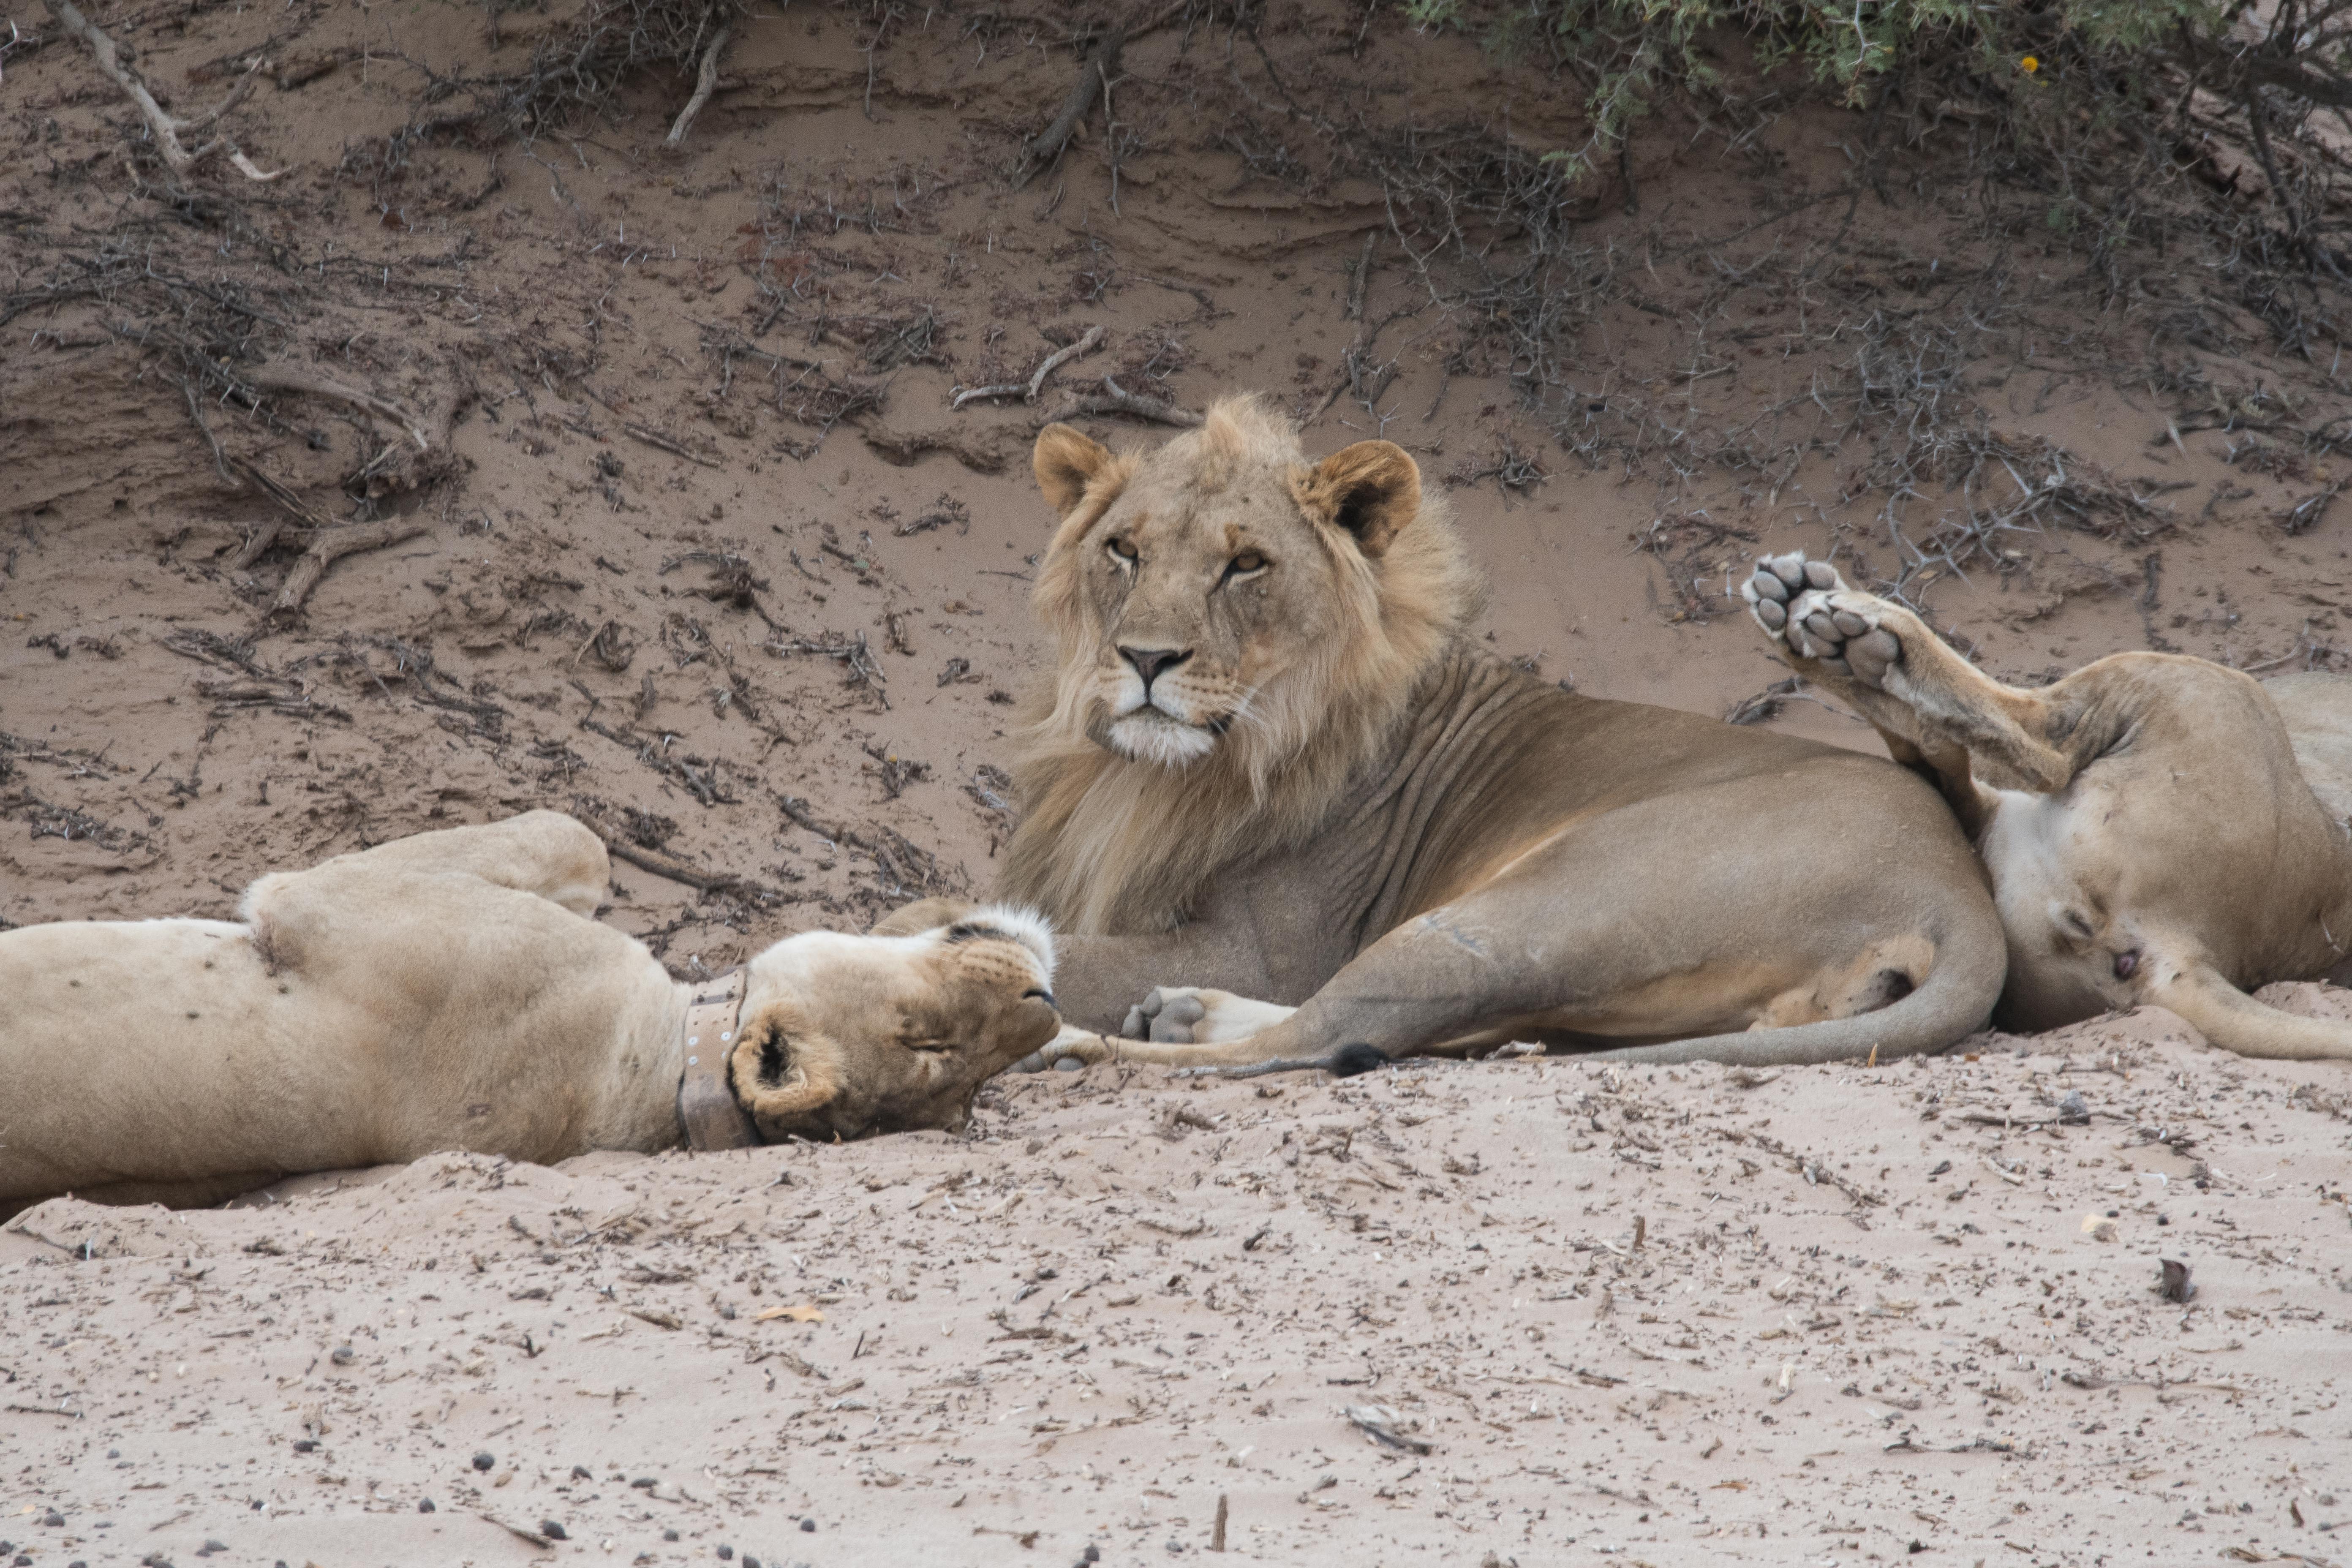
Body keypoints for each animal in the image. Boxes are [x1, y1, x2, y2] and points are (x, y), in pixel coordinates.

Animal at [1002, 395, 2013, 1081]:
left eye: (1245, 563)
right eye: (1124, 550)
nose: (1144, 657)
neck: (1146, 775)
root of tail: (1954, 884)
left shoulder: (1266, 943)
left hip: (1523, 911)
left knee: (1326, 1033)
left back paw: (1081, 1040)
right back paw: (1175, 1016)